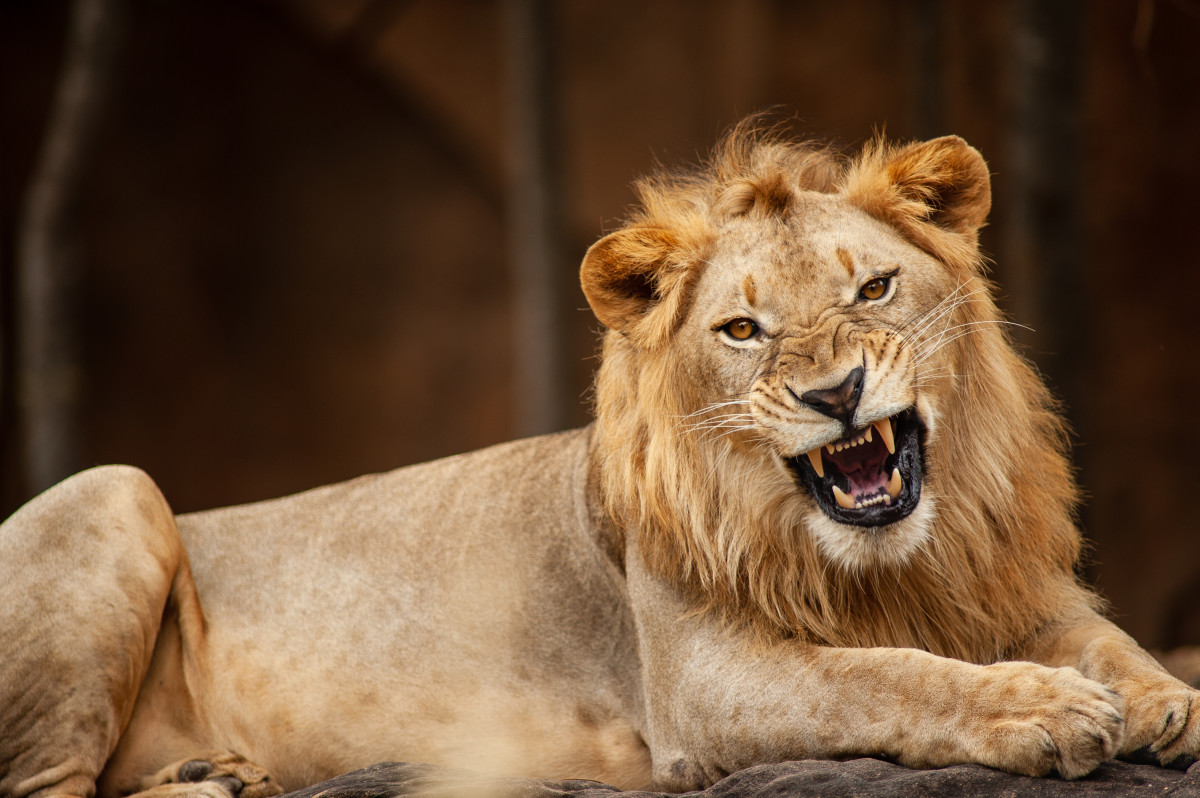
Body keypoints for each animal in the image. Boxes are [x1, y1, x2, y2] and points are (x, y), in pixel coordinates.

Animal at [1, 119, 1198, 798]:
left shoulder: (1009, 587)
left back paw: (216, 773)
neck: (892, 560)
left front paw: (1162, 705)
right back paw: (209, 784)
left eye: (873, 287)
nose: (834, 395)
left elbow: (1107, 639)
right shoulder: (702, 687)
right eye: (743, 331)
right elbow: (885, 676)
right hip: (115, 491)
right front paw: (1041, 714)